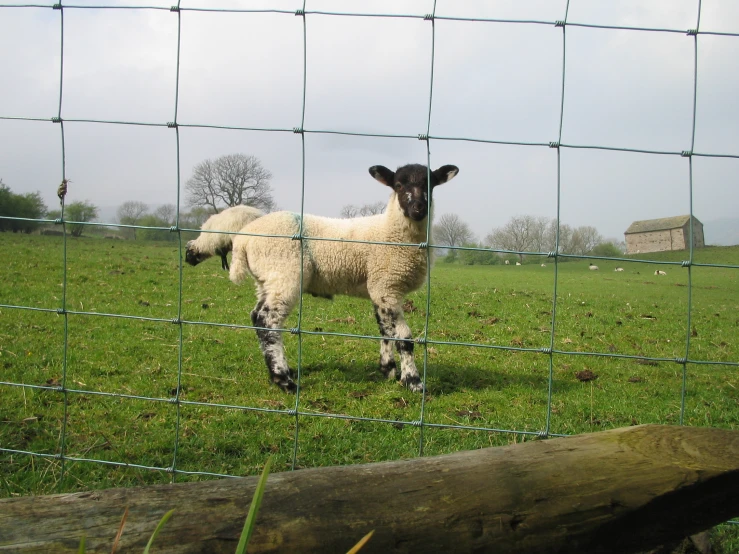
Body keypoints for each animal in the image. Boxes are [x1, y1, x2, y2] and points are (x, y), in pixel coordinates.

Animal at [228, 163, 460, 392]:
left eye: (430, 184)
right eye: (398, 185)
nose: (418, 208)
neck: (392, 231)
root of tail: (243, 239)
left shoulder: (378, 288)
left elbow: (385, 329)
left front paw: (388, 370)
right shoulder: (388, 285)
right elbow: (404, 338)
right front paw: (413, 381)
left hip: (266, 280)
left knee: (256, 316)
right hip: (285, 274)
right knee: (267, 321)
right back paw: (284, 379)